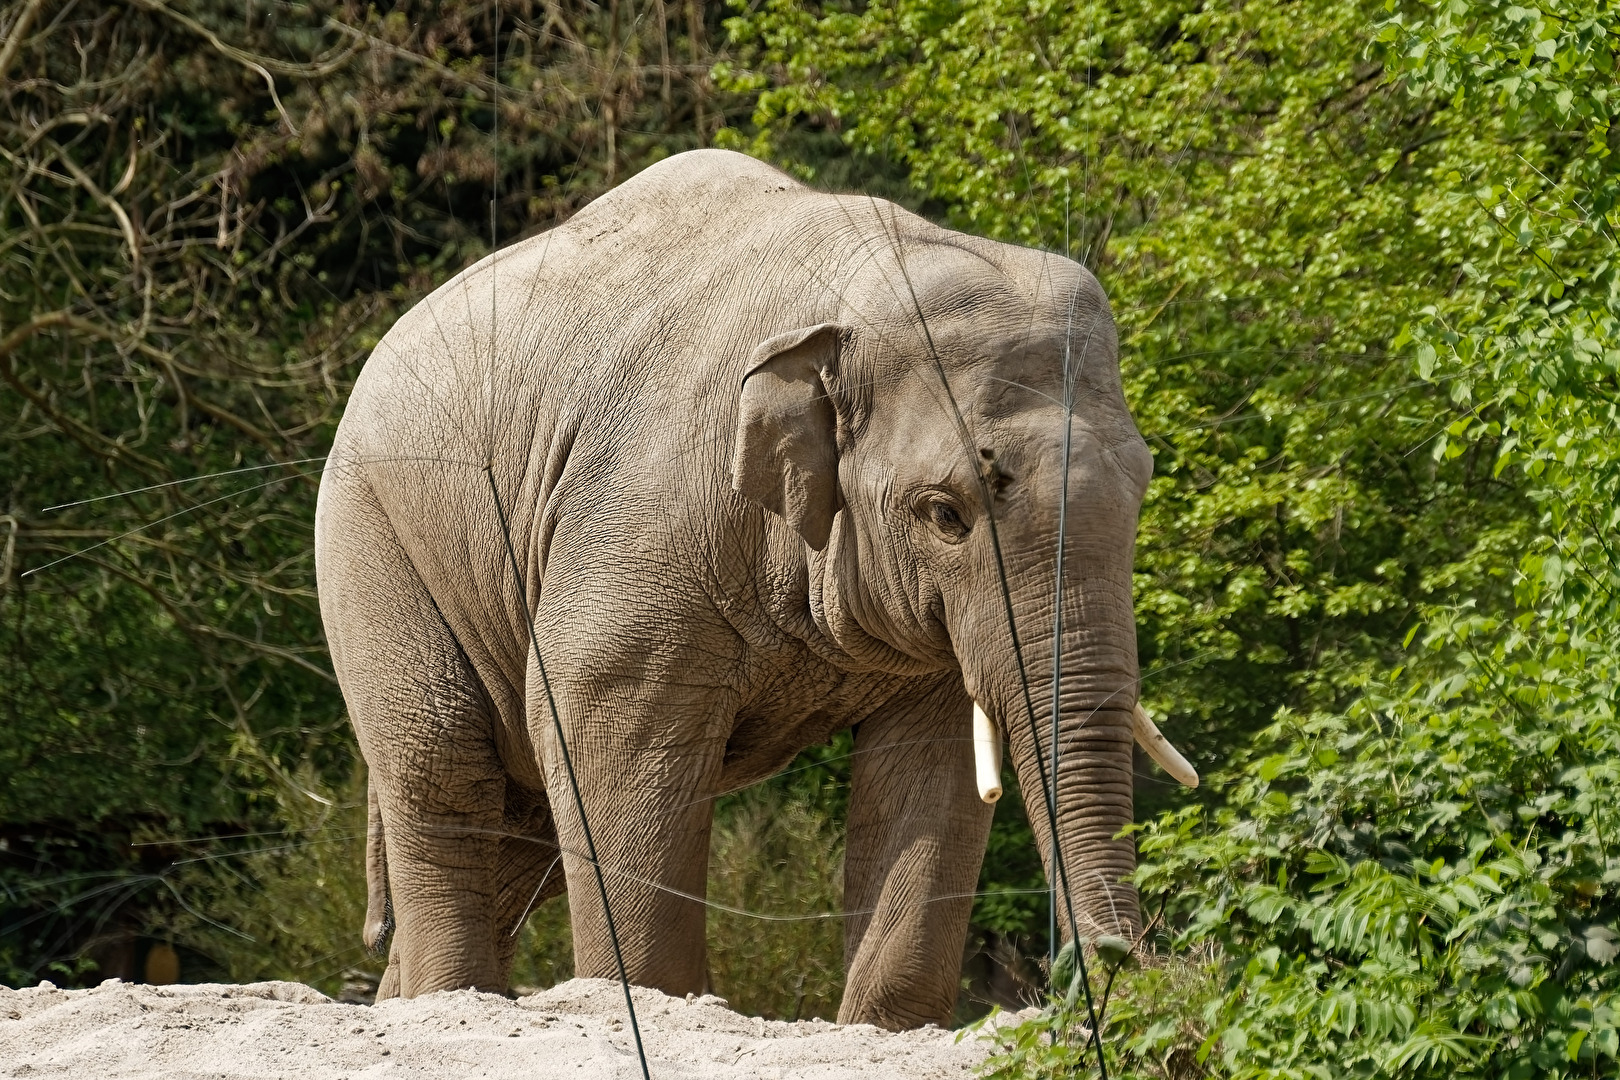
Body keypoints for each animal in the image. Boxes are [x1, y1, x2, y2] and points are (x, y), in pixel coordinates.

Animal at [313, 148, 1195, 1030]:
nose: (1122, 966)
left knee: (520, 833)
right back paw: (452, 994)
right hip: (372, 539)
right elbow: (603, 726)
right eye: (946, 514)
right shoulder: (640, 525)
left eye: (1141, 489)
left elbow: (932, 765)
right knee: (446, 768)